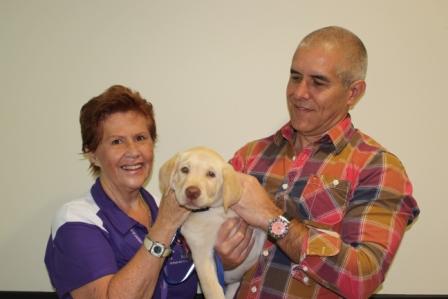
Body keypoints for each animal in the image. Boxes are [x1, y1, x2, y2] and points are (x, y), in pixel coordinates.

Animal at [160, 148, 266, 299]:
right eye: (184, 169)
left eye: (211, 174)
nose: (192, 192)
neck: (212, 211)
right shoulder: (201, 253)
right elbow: (212, 288)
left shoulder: (252, 225)